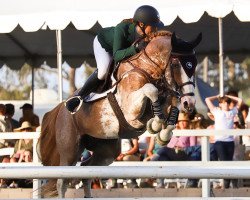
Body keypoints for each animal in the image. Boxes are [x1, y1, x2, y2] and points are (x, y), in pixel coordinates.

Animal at [38, 30, 201, 198]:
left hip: (106, 151)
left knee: (86, 170)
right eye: (176, 64)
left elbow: (172, 106)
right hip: (70, 150)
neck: (147, 68)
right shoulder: (131, 111)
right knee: (62, 182)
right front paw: (156, 125)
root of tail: (60, 109)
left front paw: (163, 134)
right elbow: (151, 90)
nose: (190, 102)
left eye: (194, 64)